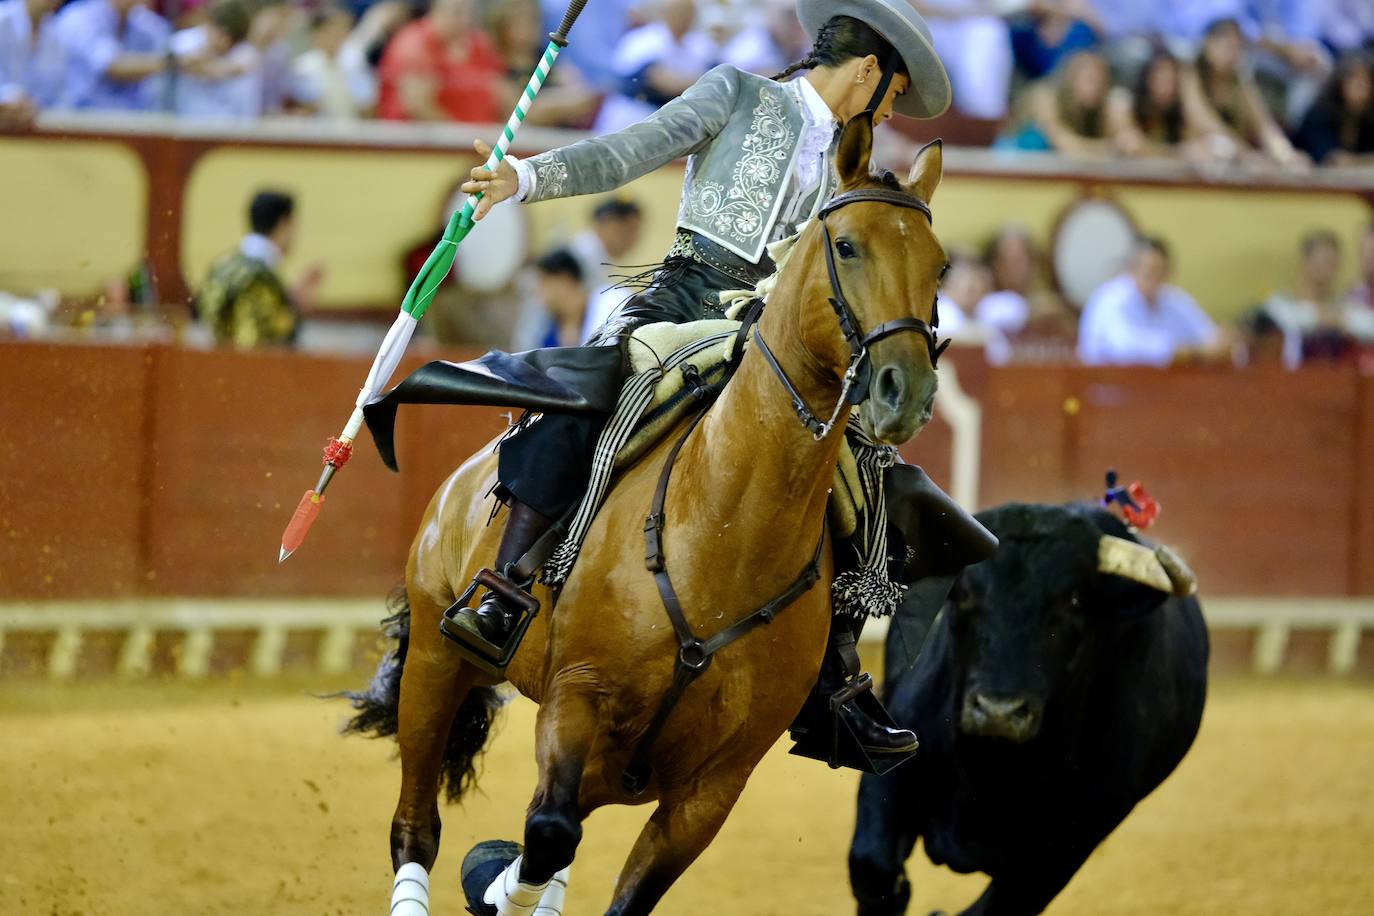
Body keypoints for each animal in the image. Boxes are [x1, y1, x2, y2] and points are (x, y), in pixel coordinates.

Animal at [357, 118, 945, 911]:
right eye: (847, 245)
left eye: (940, 265)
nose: (903, 390)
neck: (726, 536)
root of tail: (462, 481)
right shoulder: (576, 700)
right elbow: (546, 831)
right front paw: (494, 878)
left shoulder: (714, 787)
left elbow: (606, 877)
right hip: (434, 660)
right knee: (418, 825)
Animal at [851, 505, 1209, 911]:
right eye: (964, 593)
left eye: (1074, 601)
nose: (999, 712)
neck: (993, 770)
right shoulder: (891, 763)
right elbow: (873, 866)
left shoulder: (1065, 850)